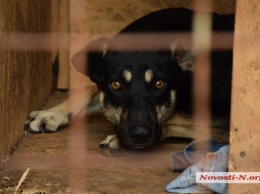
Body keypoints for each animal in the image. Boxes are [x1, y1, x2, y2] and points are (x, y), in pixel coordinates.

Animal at [24, 7, 235, 150]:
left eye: (159, 84)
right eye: (116, 85)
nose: (140, 135)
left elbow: (174, 116)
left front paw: (117, 139)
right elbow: (89, 89)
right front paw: (51, 113)